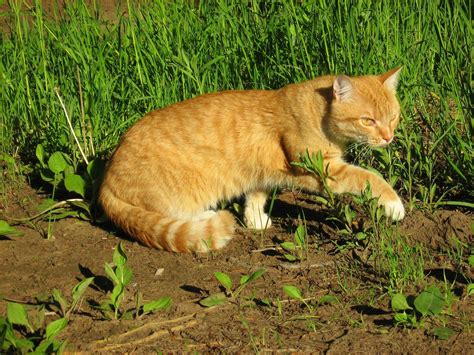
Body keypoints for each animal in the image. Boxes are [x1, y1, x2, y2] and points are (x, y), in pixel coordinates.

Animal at [99, 67, 404, 253]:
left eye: (392, 117)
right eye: (368, 121)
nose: (388, 137)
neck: (318, 112)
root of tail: (105, 183)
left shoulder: (262, 171)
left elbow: (256, 194)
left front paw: (255, 220)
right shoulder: (324, 171)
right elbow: (369, 177)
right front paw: (394, 204)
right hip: (184, 189)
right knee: (173, 214)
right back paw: (207, 216)